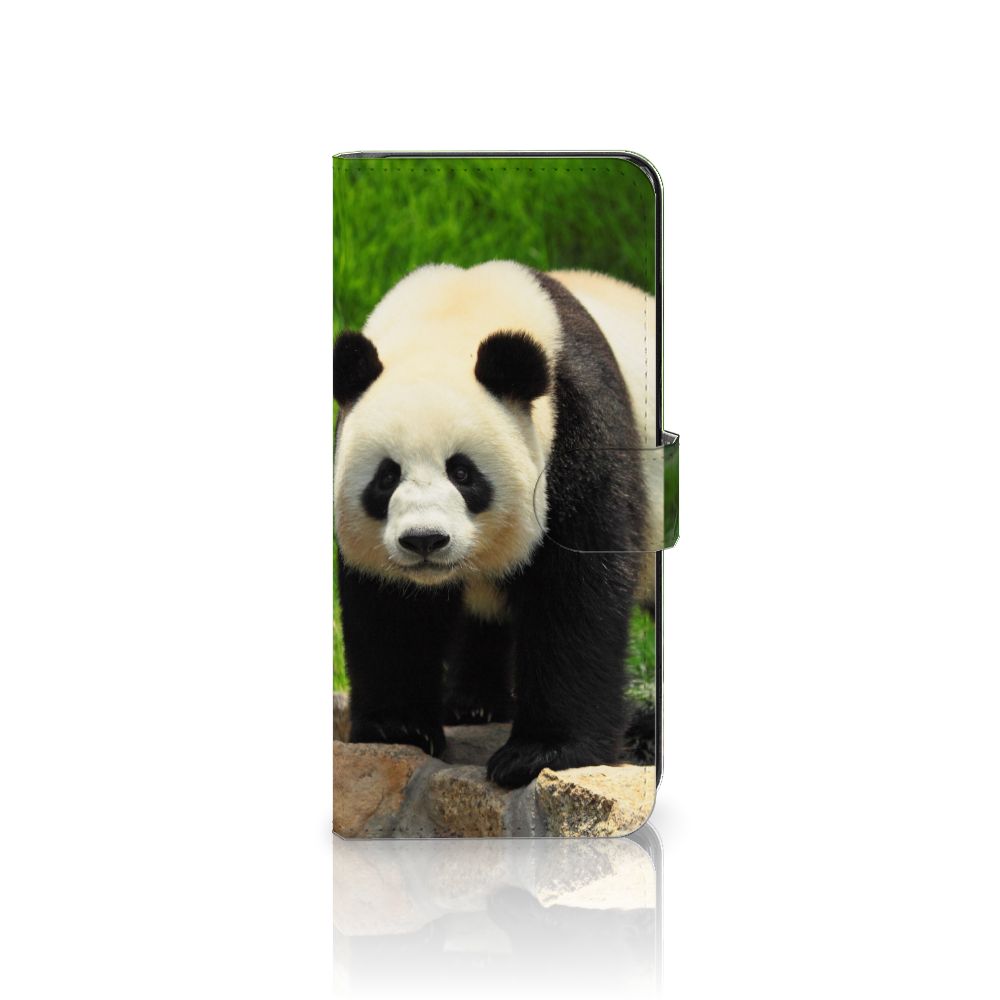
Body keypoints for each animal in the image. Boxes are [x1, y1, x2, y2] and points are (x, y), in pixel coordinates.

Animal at [333, 260, 660, 789]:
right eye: (386, 476)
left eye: (463, 472)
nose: (425, 540)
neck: (453, 316)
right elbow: (390, 608)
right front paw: (397, 728)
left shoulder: (578, 426)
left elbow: (576, 590)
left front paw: (541, 753)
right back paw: (474, 704)